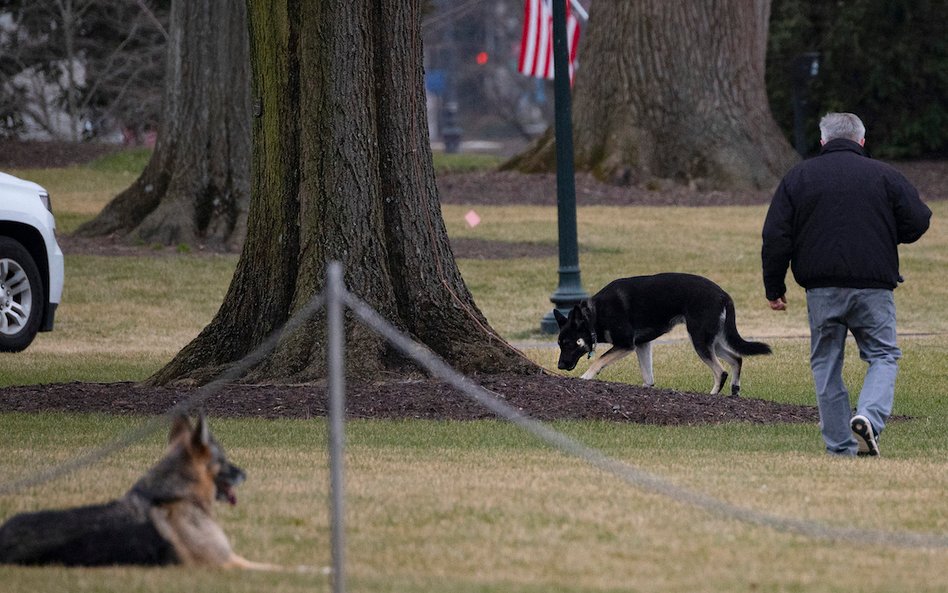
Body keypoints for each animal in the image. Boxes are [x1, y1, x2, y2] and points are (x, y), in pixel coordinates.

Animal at [556, 272, 772, 394]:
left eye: (568, 343)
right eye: (559, 344)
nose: (559, 366)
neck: (593, 316)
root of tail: (723, 295)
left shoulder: (626, 344)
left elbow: (599, 360)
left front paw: (585, 377)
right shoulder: (642, 345)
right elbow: (647, 376)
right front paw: (647, 388)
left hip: (700, 340)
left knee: (721, 371)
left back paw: (712, 395)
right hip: (713, 341)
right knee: (737, 358)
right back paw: (734, 390)